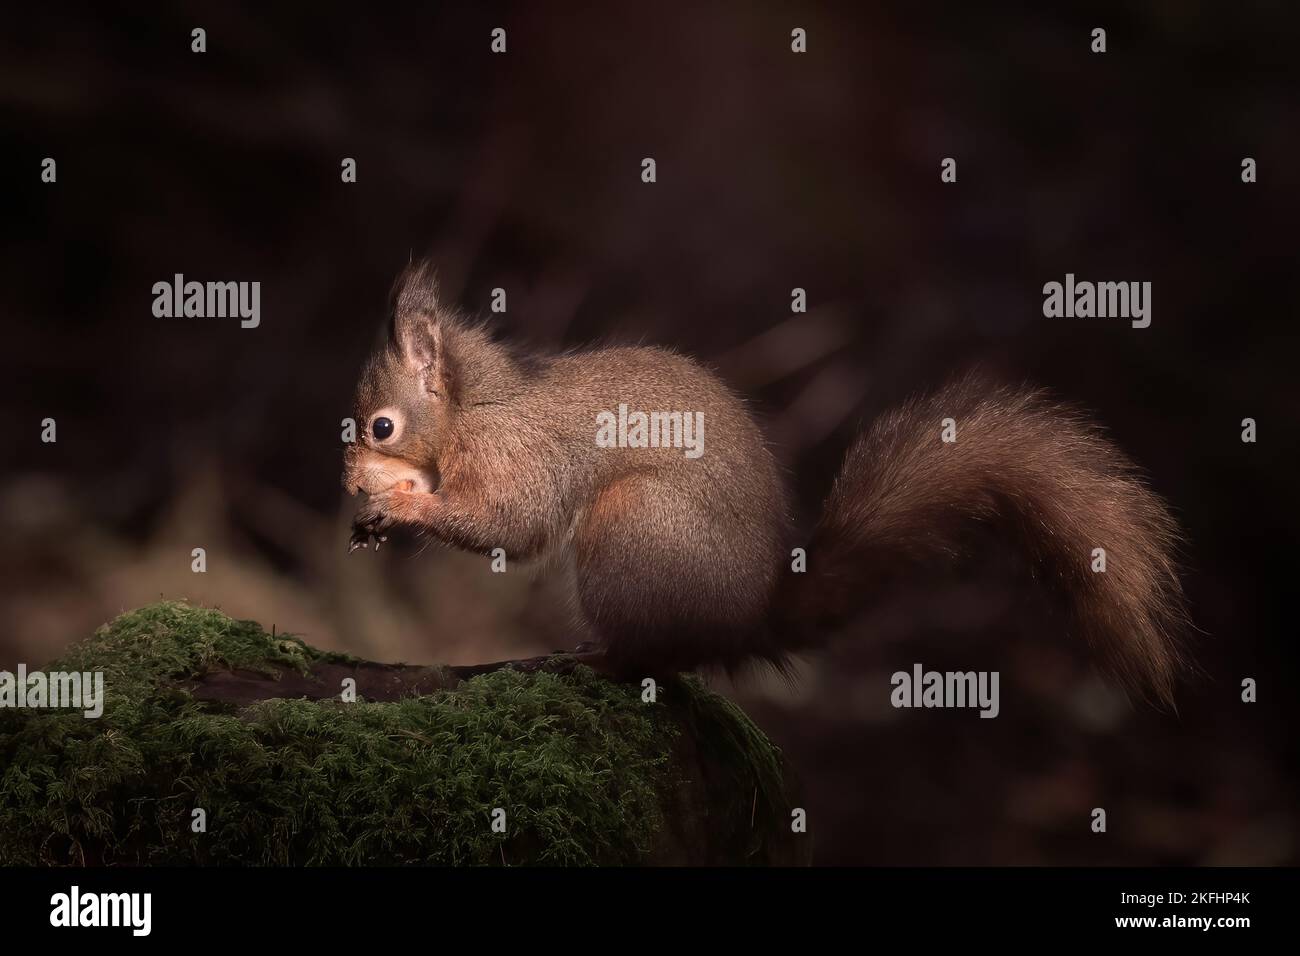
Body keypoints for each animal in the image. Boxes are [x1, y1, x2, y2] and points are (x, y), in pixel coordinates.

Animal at [344, 261, 1189, 705]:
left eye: (381, 427)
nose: (351, 482)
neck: (477, 408)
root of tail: (746, 620)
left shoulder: (517, 455)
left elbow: (510, 525)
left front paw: (402, 502)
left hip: (634, 526)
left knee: (655, 659)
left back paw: (591, 660)